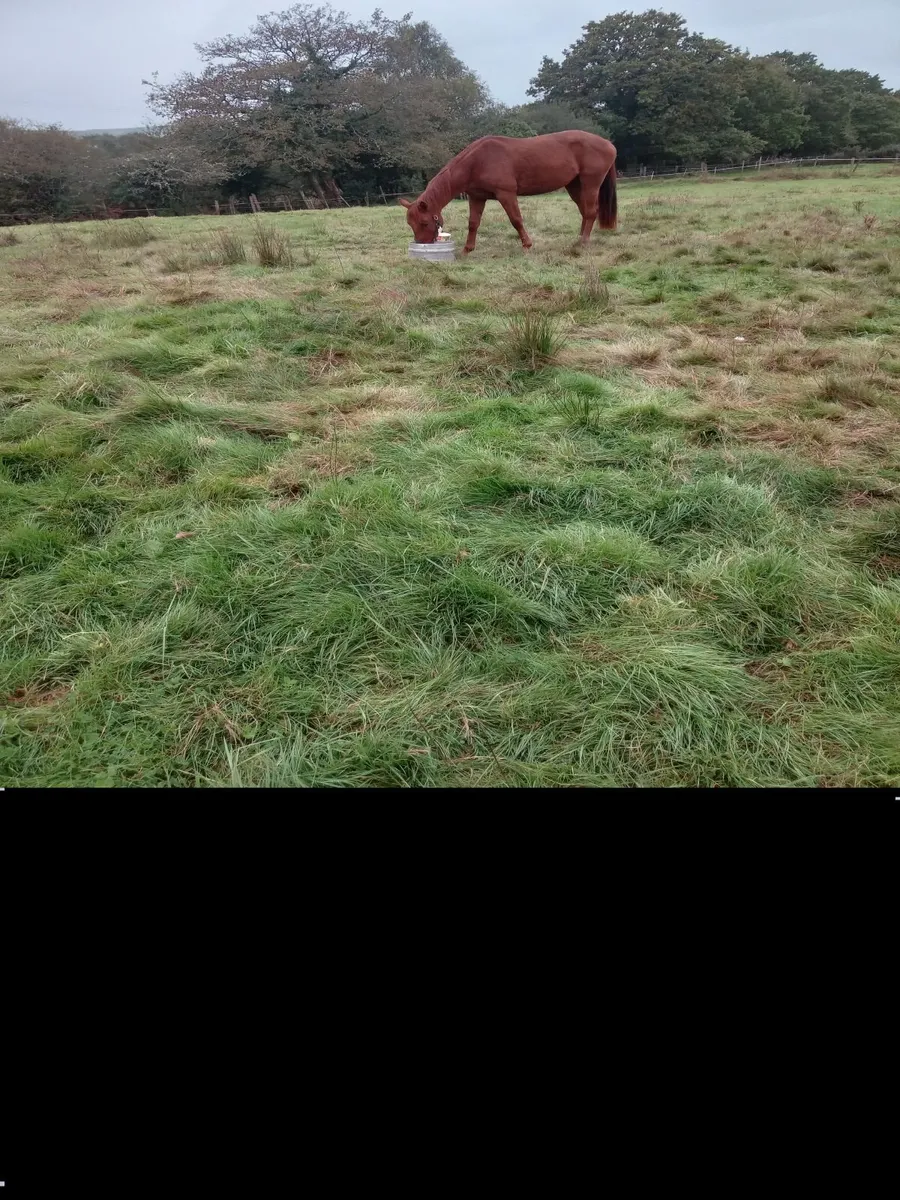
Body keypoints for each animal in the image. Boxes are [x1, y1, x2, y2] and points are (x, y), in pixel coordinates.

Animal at [399, 131, 617, 254]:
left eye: (424, 222)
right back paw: (578, 240)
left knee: (591, 212)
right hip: (574, 185)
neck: (477, 161)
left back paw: (584, 242)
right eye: (410, 224)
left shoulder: (506, 194)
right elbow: (473, 223)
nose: (422, 244)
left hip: (590, 183)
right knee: (584, 212)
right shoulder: (476, 197)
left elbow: (516, 220)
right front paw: (468, 249)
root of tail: (609, 143)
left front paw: (527, 245)